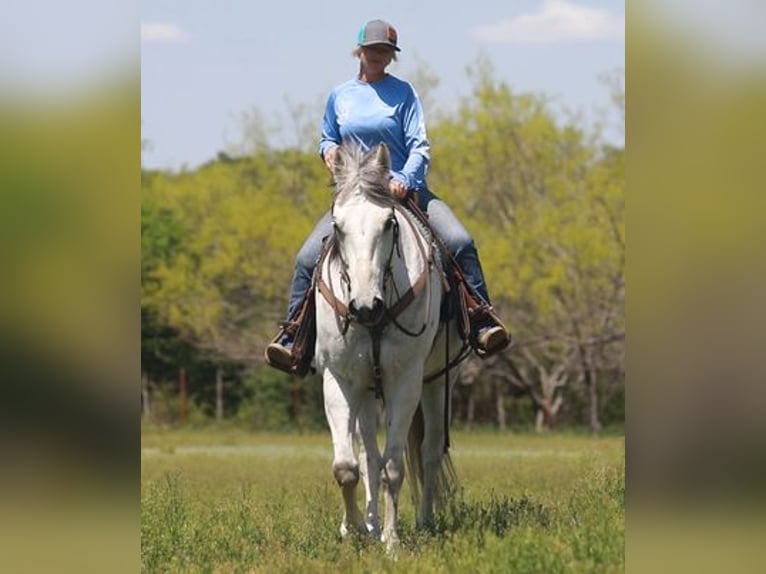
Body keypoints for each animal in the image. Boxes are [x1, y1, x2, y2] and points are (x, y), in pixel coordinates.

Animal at [314, 142, 462, 552]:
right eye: (337, 226)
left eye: (389, 223)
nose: (365, 306)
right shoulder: (339, 378)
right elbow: (348, 467)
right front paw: (354, 531)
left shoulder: (406, 380)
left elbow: (395, 467)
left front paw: (392, 541)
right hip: (367, 390)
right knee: (368, 457)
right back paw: (369, 523)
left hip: (437, 382)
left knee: (429, 452)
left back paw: (423, 522)